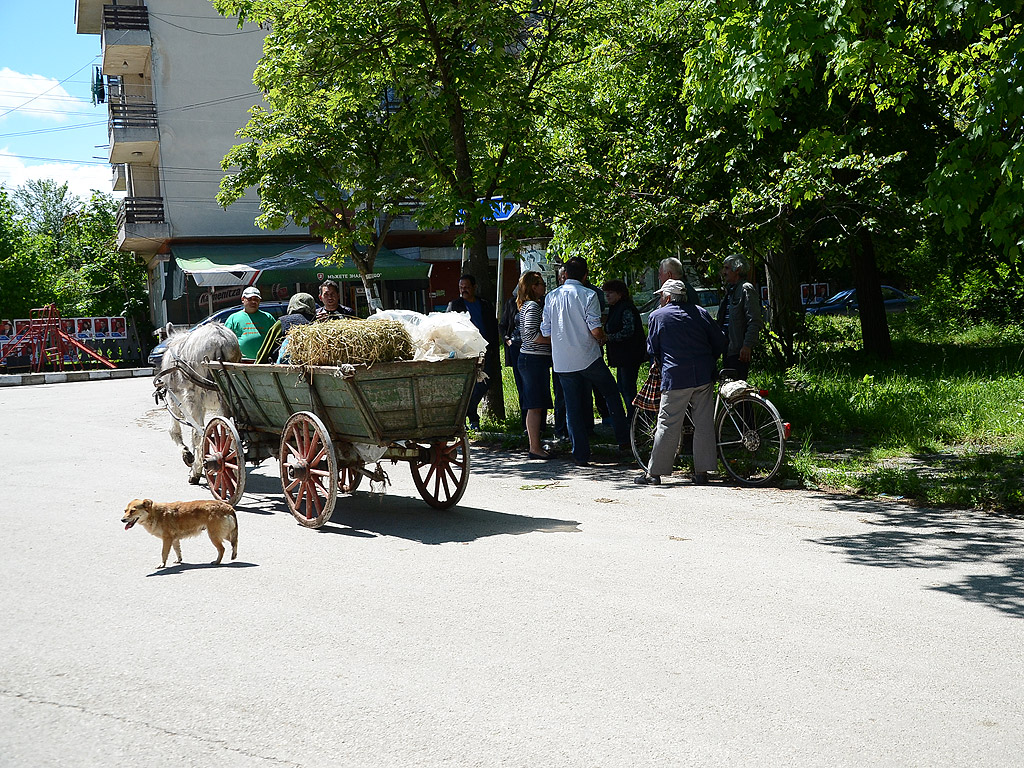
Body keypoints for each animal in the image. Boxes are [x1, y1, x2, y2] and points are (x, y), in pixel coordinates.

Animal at [153, 325, 241, 487]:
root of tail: (220, 340)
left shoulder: (173, 396)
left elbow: (174, 430)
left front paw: (188, 456)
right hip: (225, 400)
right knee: (228, 433)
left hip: (195, 397)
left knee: (199, 432)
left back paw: (196, 472)